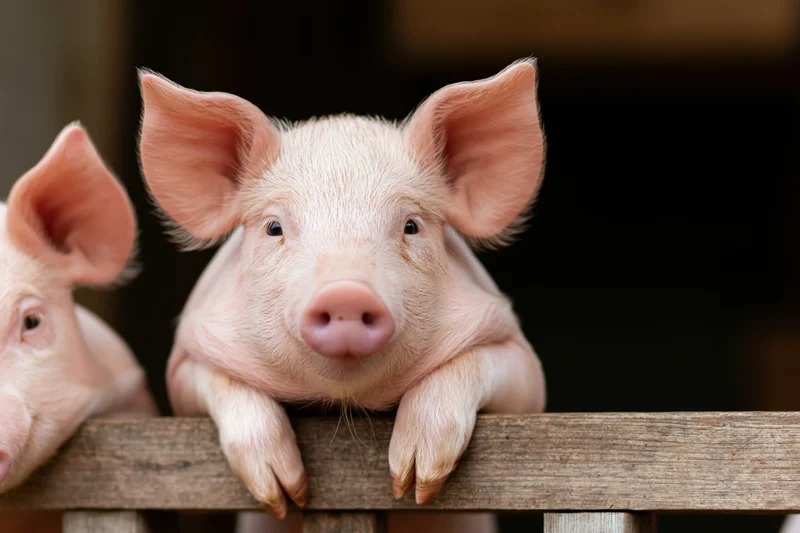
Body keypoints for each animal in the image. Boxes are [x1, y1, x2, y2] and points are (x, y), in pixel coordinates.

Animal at [138, 59, 546, 532]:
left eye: (411, 226)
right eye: (274, 227)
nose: (347, 293)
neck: (342, 405)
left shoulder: (521, 364)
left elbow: (484, 367)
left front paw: (413, 483)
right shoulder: (186, 362)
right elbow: (219, 381)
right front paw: (287, 494)